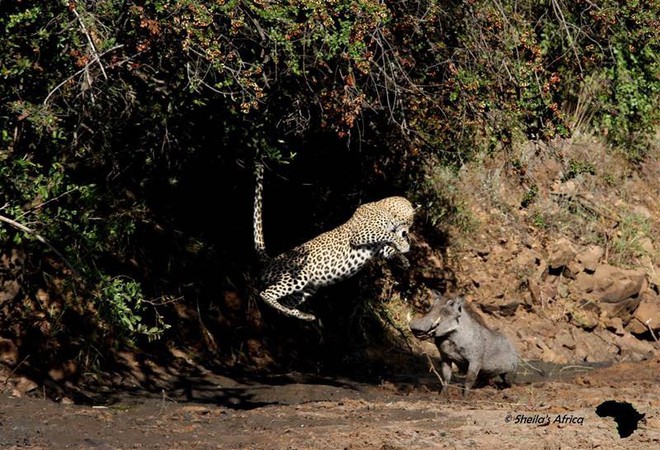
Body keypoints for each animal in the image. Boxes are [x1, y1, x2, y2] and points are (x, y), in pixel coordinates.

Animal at [251, 163, 412, 322]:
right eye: (410, 222)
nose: (408, 232)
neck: (385, 208)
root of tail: (270, 260)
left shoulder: (375, 245)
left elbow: (387, 248)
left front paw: (403, 260)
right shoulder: (361, 234)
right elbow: (386, 234)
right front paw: (404, 246)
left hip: (307, 288)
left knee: (285, 302)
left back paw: (303, 315)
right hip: (298, 274)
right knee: (266, 294)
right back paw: (293, 312)